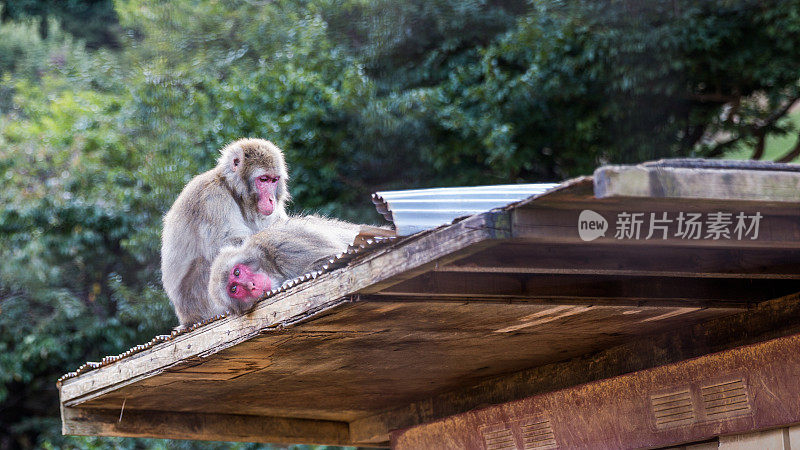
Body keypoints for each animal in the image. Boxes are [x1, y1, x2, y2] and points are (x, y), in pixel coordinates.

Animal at [161, 138, 290, 326]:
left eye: (274, 180)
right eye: (263, 179)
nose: (271, 199)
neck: (233, 189)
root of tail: (186, 318)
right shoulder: (212, 198)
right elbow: (230, 244)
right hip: (199, 302)